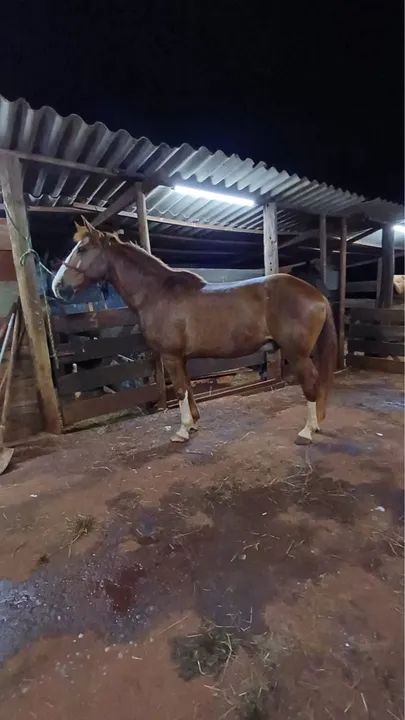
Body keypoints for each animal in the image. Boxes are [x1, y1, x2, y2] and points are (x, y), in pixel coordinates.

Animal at [52, 217, 337, 445]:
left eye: (82, 249)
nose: (57, 287)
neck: (156, 293)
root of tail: (317, 295)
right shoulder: (181, 357)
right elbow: (188, 388)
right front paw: (194, 423)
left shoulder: (170, 356)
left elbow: (179, 390)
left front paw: (182, 431)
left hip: (298, 354)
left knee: (311, 382)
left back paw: (307, 431)